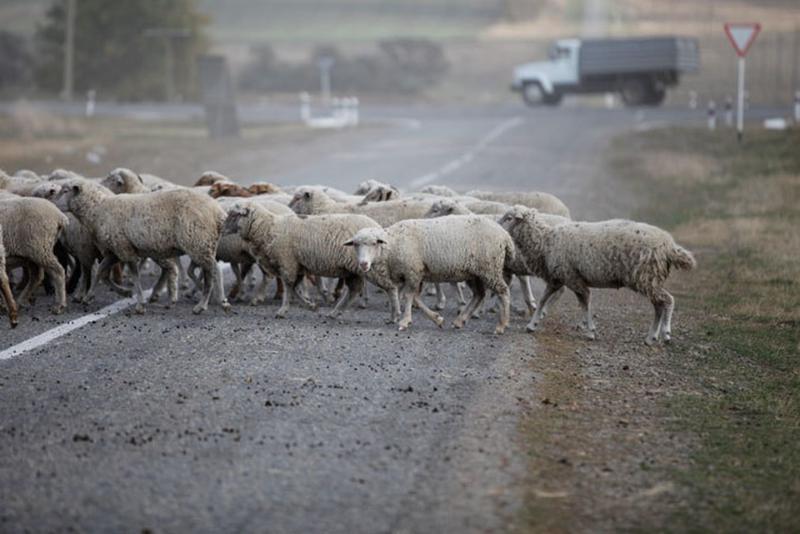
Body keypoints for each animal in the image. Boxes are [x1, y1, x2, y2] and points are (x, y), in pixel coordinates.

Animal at [54, 181, 230, 314]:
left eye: (65, 190)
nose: (53, 205)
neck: (97, 209)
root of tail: (218, 213)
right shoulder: (114, 251)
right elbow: (101, 272)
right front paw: (89, 297)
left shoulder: (124, 249)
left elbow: (134, 275)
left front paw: (139, 304)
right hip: (201, 244)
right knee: (204, 270)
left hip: (198, 243)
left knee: (212, 272)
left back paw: (205, 304)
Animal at [220, 205, 380, 320]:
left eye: (234, 215)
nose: (221, 228)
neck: (268, 228)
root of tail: (376, 226)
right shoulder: (297, 265)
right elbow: (295, 288)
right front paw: (310, 306)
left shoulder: (287, 262)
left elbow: (289, 287)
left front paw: (282, 310)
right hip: (352, 269)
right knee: (354, 289)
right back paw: (335, 312)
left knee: (357, 288)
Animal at [342, 216, 512, 332]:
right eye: (355, 245)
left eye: (373, 243)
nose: (363, 264)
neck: (393, 245)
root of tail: (505, 235)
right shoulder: (415, 274)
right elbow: (416, 299)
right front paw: (437, 319)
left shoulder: (413, 271)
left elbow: (408, 297)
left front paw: (404, 321)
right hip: (474, 272)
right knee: (479, 294)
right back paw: (460, 321)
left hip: (490, 268)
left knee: (503, 291)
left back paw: (502, 325)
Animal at [504, 207, 696, 346]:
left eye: (508, 218)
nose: (498, 226)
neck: (545, 242)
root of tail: (669, 245)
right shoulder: (560, 278)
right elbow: (548, 300)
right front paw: (532, 324)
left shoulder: (571, 278)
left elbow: (584, 302)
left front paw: (590, 332)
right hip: (650, 280)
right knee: (659, 306)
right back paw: (651, 338)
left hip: (646, 278)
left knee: (668, 300)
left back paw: (666, 333)